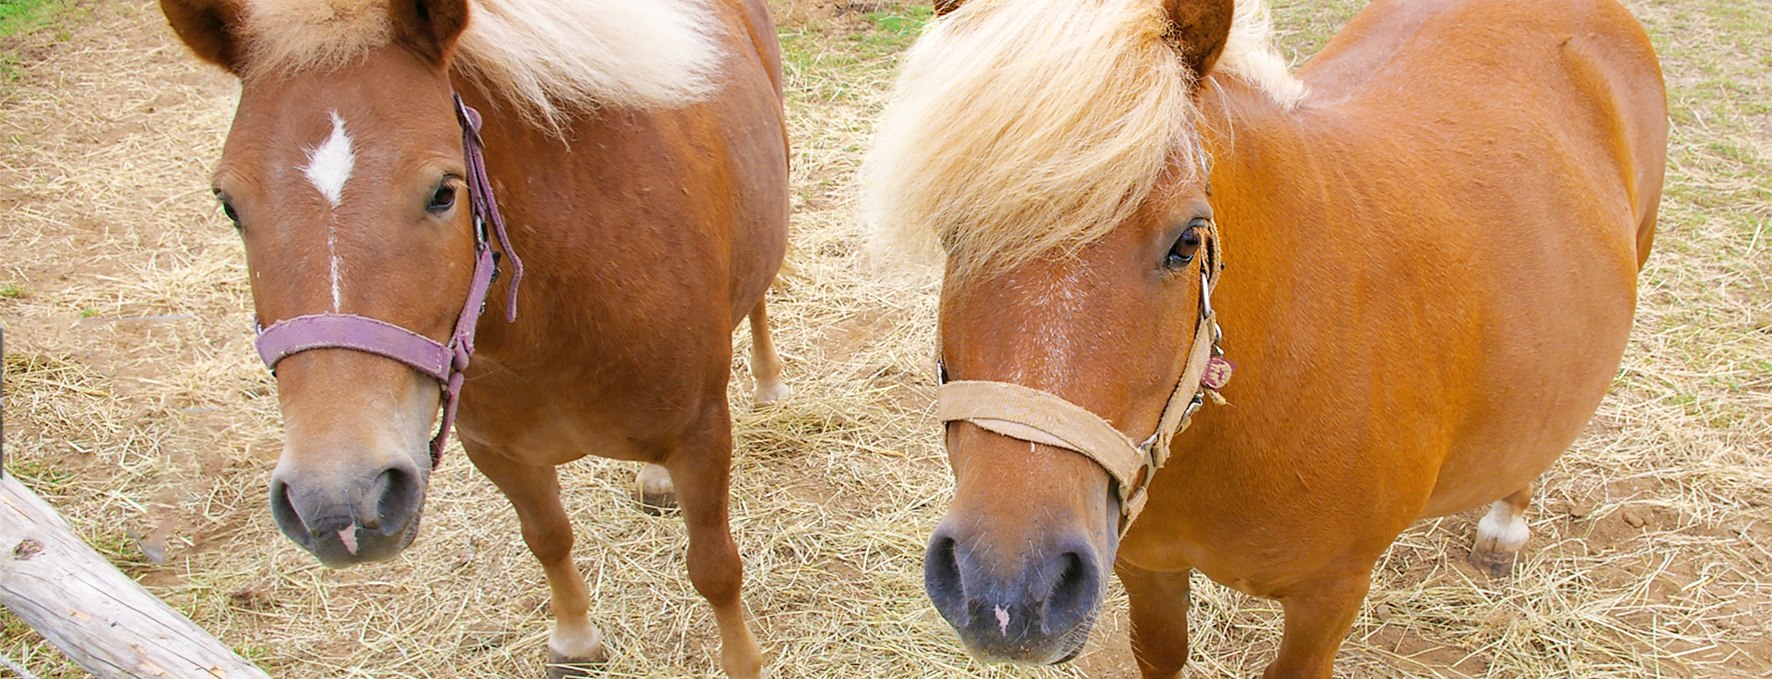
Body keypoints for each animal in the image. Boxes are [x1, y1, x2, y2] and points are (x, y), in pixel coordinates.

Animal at [155, 0, 793, 673]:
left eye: (443, 191)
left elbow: (714, 568)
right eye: (229, 204)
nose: (337, 502)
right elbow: (547, 538)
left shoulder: (701, 437)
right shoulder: (496, 452)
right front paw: (575, 638)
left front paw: (743, 663)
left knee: (757, 296)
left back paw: (769, 383)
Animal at [864, 0, 1665, 673]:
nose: (1005, 589)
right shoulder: (1145, 568)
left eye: (1188, 241)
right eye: (952, 231)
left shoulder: (1330, 595)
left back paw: (1505, 524)